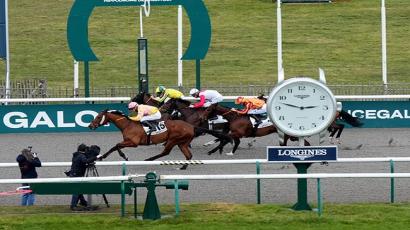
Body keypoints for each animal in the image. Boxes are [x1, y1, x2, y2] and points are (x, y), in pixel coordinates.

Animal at [88, 108, 229, 170]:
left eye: (98, 117)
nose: (90, 126)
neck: (128, 124)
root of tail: (191, 126)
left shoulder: (133, 142)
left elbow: (117, 145)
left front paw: (124, 156)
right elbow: (115, 146)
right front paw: (102, 157)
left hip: (173, 139)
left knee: (165, 152)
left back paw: (148, 160)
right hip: (182, 143)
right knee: (188, 155)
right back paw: (183, 167)